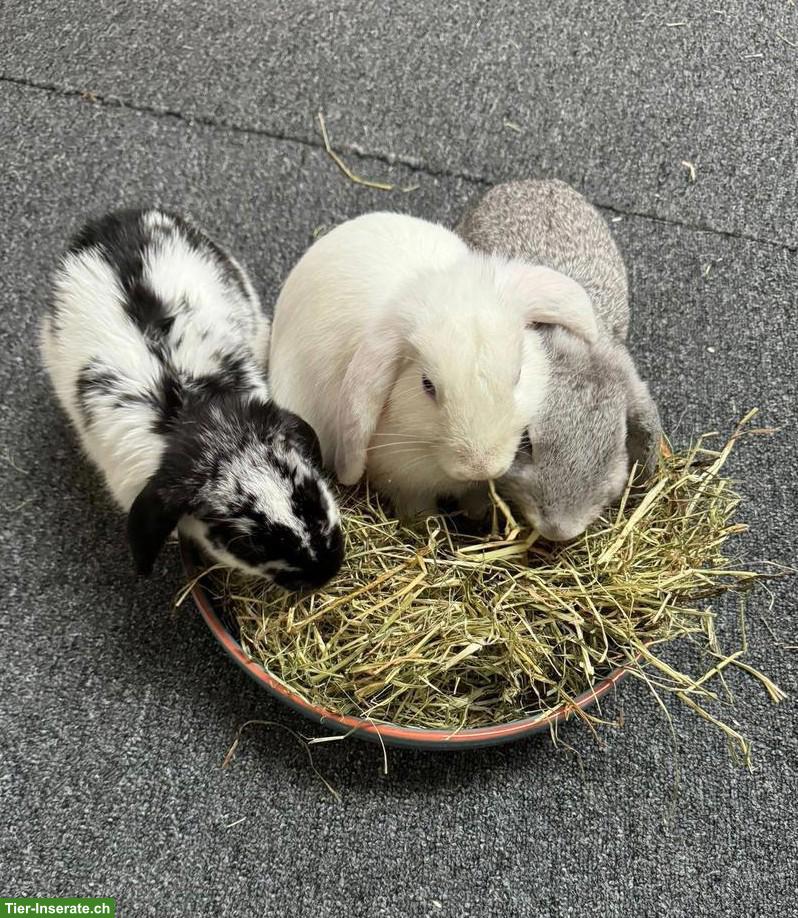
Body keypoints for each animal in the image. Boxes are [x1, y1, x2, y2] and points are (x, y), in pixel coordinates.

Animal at [267, 211, 599, 518]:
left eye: (518, 374)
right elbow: (418, 507)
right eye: (426, 385)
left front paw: (478, 513)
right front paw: (425, 521)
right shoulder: (403, 481)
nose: (480, 466)